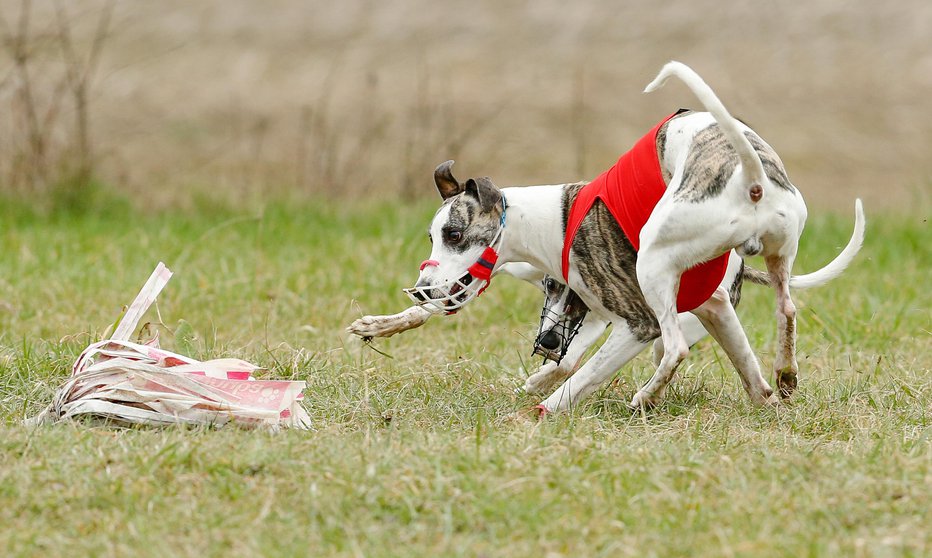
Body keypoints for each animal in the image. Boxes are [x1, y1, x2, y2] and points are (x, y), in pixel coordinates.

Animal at [358, 63, 868, 418]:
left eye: (454, 233)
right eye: (433, 236)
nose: (423, 287)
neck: (551, 217)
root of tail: (751, 175)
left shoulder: (633, 322)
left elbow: (577, 375)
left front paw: (539, 411)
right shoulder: (703, 307)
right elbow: (746, 366)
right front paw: (382, 324)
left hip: (655, 265)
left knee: (673, 347)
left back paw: (642, 397)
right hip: (773, 255)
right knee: (786, 310)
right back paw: (783, 375)